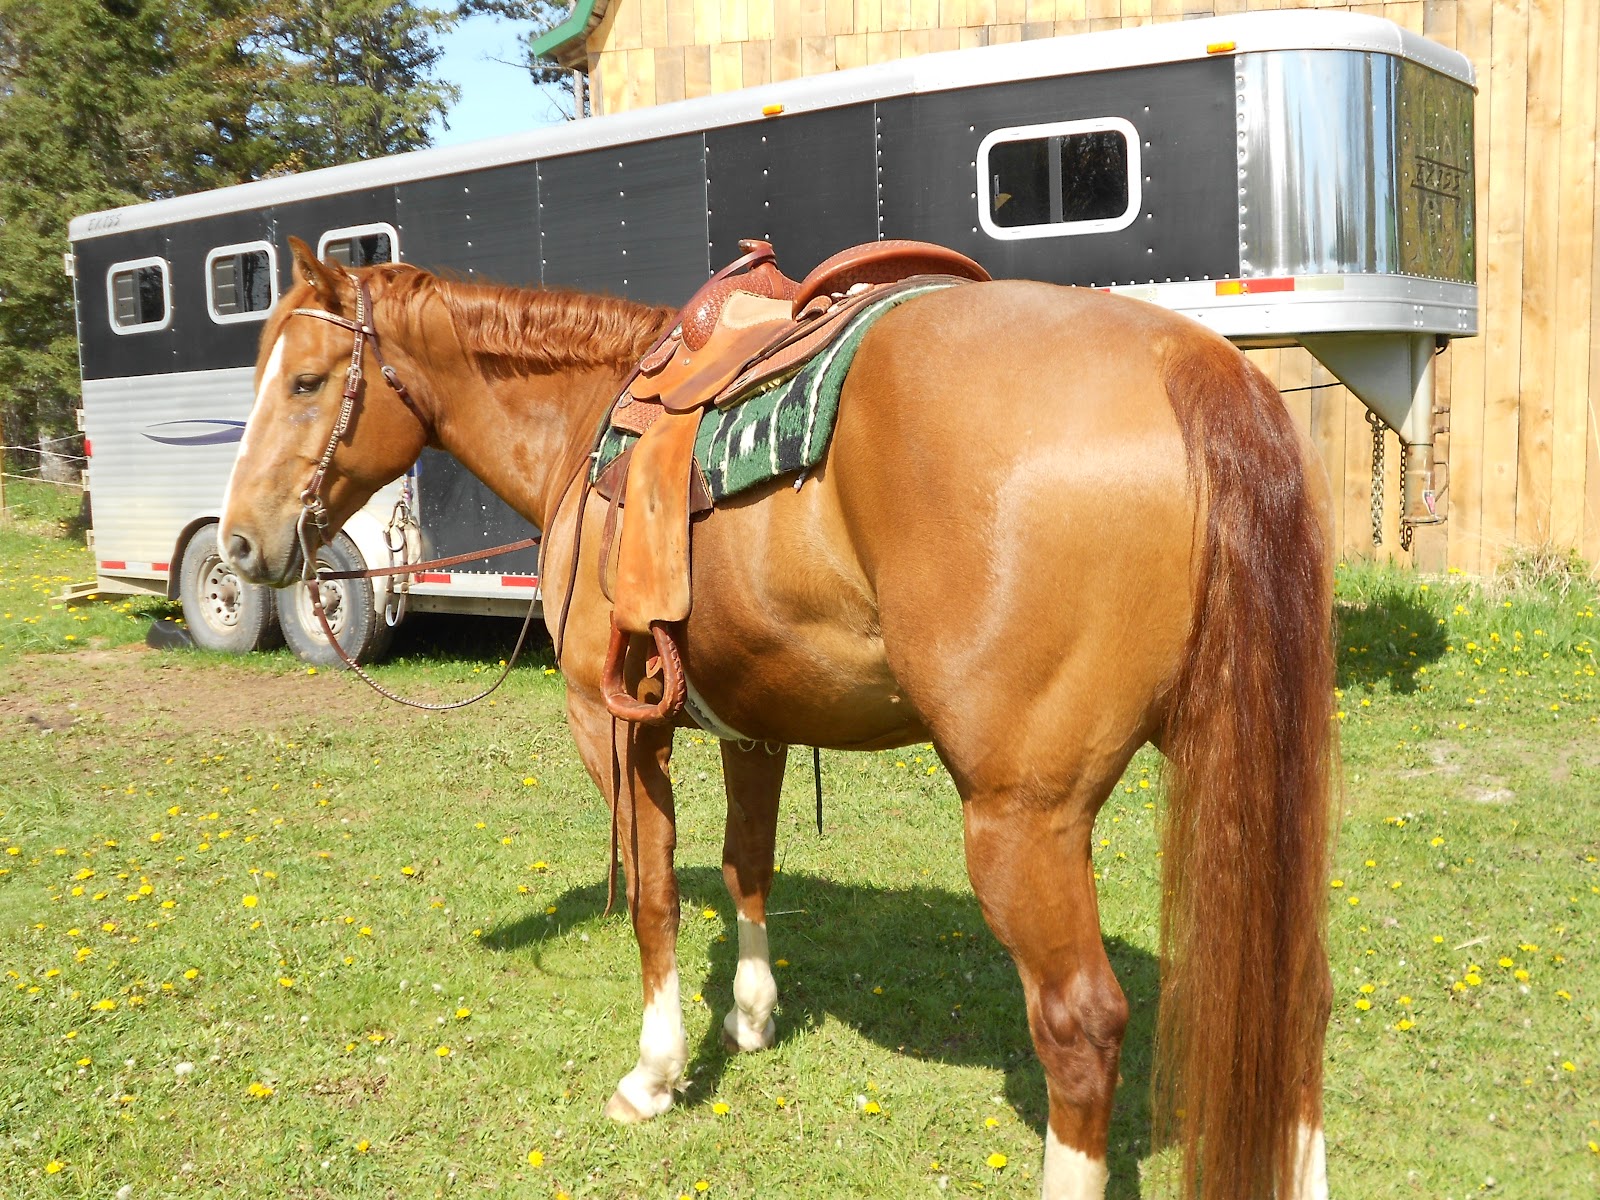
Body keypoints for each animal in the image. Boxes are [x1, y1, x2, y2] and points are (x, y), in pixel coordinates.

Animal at [220, 236, 1336, 1200]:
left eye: (307, 381)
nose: (237, 544)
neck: (587, 428)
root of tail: (1189, 361)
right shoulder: (754, 721)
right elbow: (744, 864)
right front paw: (752, 1016)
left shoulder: (616, 724)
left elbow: (656, 898)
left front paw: (656, 1073)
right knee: (1296, 999)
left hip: (1023, 818)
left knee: (1081, 1025)